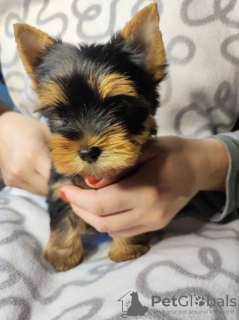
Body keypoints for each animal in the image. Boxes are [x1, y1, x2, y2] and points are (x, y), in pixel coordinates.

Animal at [13, 3, 166, 272]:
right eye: (63, 116)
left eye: (118, 106)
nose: (87, 152)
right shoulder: (60, 186)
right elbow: (62, 221)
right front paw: (62, 257)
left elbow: (128, 224)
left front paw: (127, 251)